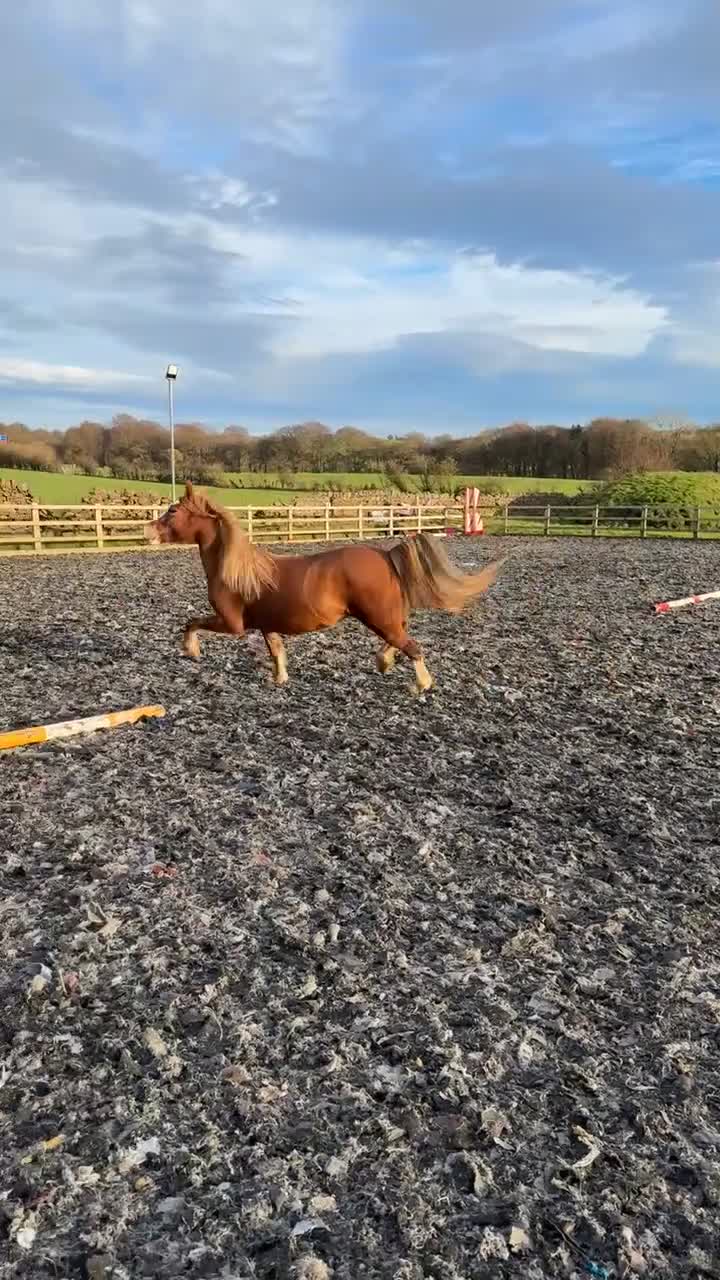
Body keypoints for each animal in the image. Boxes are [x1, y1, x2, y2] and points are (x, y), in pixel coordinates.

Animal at [146, 483, 505, 693]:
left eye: (173, 511)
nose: (148, 531)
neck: (235, 569)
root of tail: (385, 554)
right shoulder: (266, 625)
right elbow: (276, 651)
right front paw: (280, 679)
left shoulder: (232, 624)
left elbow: (191, 622)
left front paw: (191, 650)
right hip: (385, 616)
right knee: (399, 638)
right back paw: (383, 663)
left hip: (377, 616)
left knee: (411, 646)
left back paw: (421, 685)